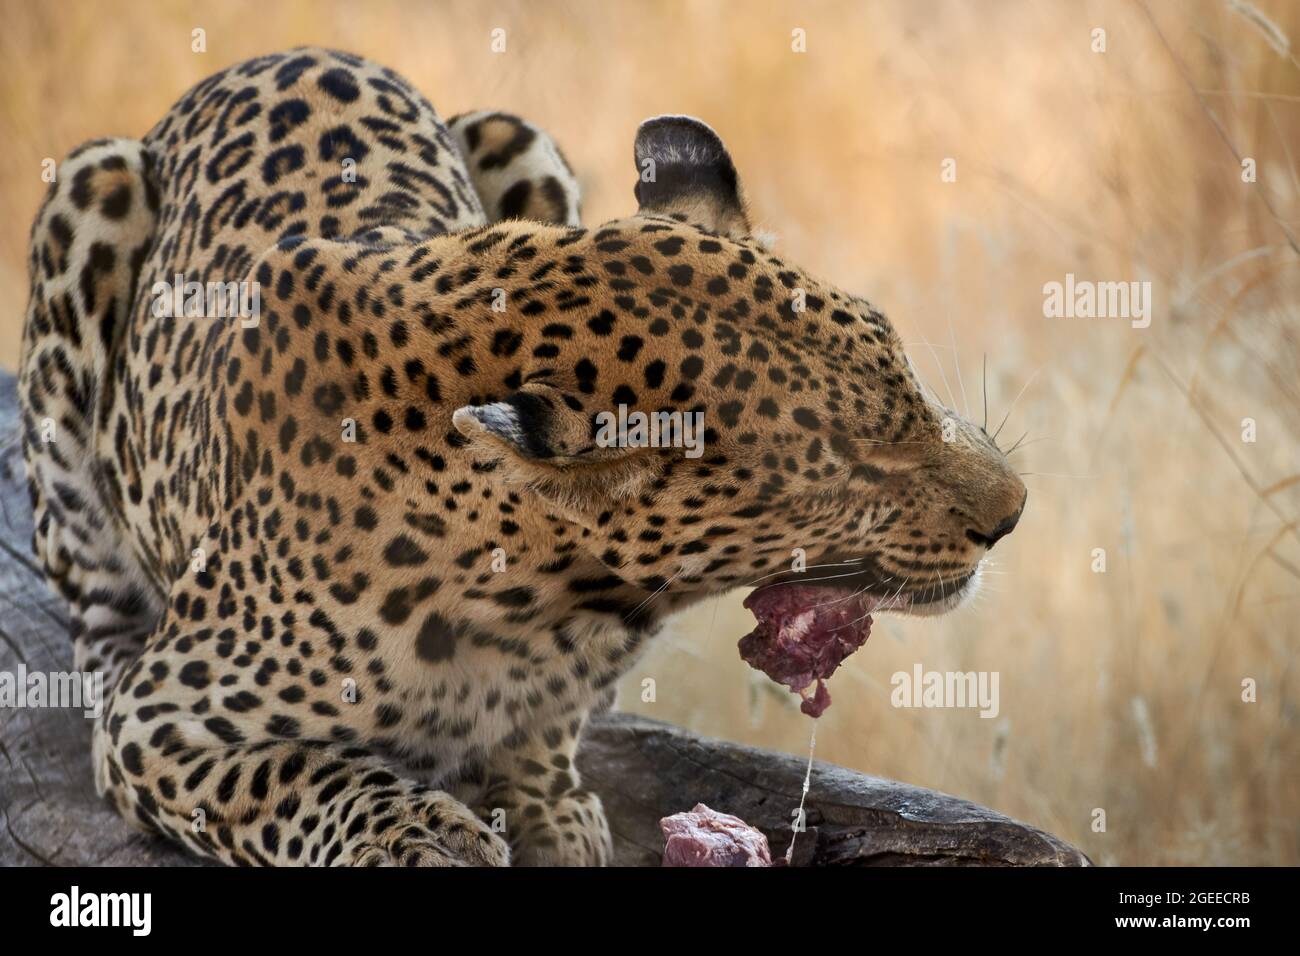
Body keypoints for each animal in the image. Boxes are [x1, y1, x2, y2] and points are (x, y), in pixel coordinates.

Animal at [15, 46, 1019, 868]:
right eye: (846, 465)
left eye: (907, 374)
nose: (1011, 514)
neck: (540, 598)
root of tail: (268, 54)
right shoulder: (159, 723)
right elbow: (289, 776)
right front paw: (415, 829)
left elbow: (546, 727)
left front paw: (545, 802)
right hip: (85, 206)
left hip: (520, 135)